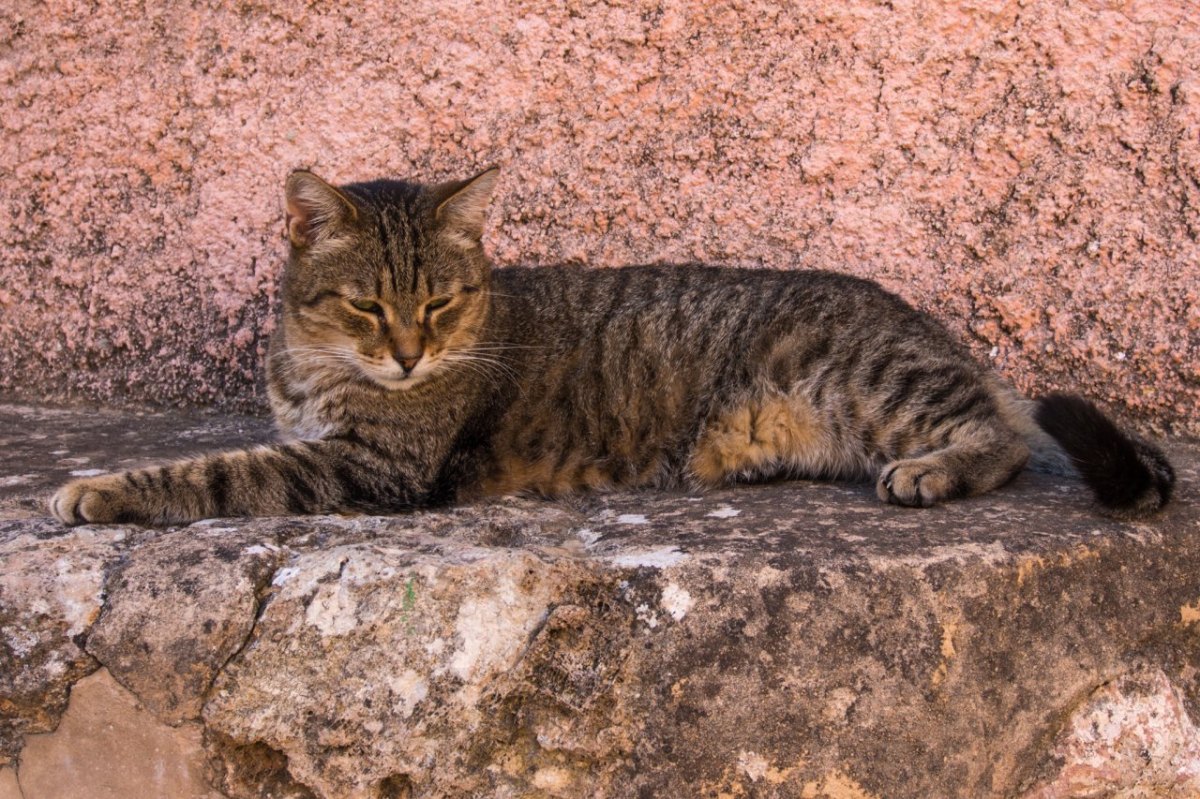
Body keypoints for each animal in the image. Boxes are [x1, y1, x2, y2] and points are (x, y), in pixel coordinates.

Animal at [49, 165, 1171, 525]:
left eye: (439, 304)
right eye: (370, 307)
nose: (408, 356)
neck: (314, 366)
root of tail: (945, 336)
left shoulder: (374, 466)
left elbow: (217, 472)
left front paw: (99, 487)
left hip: (877, 378)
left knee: (1005, 435)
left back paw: (936, 470)